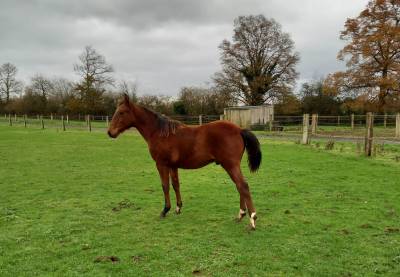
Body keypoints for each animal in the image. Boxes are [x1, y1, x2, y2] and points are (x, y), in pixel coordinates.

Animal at [107, 95, 262, 229]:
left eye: (122, 112)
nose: (110, 132)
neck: (159, 132)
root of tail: (239, 129)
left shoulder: (161, 164)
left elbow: (165, 186)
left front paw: (165, 210)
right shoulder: (172, 166)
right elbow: (175, 185)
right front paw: (178, 208)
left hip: (230, 165)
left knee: (243, 186)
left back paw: (252, 219)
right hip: (232, 166)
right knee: (239, 185)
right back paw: (241, 215)